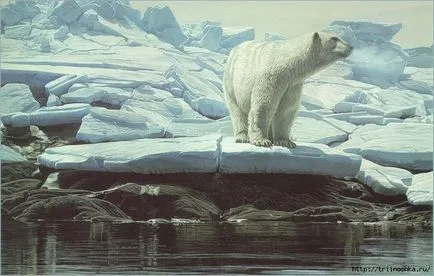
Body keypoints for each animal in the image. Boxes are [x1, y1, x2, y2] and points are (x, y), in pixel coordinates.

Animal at [224, 31, 352, 148]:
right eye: (334, 38)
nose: (350, 46)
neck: (287, 62)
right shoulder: (271, 77)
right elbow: (264, 105)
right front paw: (262, 141)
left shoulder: (292, 84)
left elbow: (286, 109)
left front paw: (285, 141)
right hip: (231, 81)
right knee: (237, 111)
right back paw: (242, 137)